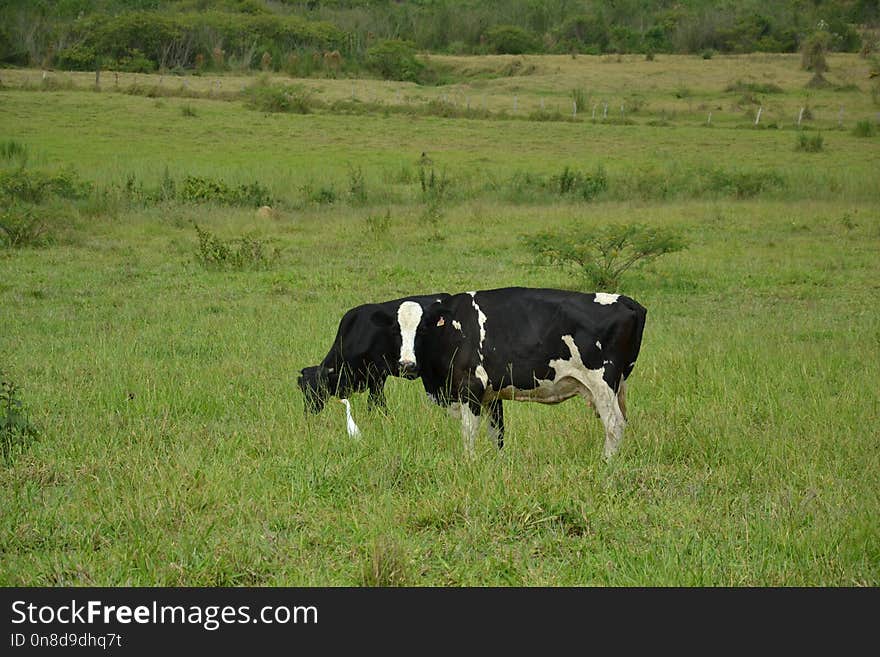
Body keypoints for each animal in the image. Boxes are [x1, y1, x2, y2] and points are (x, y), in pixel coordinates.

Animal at [412, 288, 648, 462]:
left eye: (422, 329)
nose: (408, 365)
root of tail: (624, 300)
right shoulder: (491, 394)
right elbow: (497, 433)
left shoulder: (471, 386)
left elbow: (468, 431)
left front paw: (469, 463)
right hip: (616, 386)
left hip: (602, 384)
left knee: (614, 424)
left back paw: (606, 462)